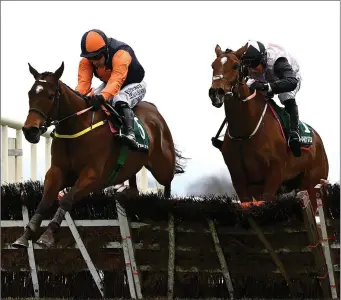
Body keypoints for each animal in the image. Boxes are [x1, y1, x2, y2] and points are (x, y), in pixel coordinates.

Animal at [12, 61, 183, 248]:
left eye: (50, 96)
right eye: (30, 94)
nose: (30, 131)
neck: (76, 127)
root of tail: (154, 110)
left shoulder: (93, 176)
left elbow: (66, 200)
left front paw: (48, 235)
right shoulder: (58, 171)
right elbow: (44, 202)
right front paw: (25, 236)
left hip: (163, 166)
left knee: (167, 181)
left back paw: (167, 204)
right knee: (135, 183)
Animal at [207, 44, 326, 211]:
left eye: (236, 66)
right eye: (213, 65)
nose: (216, 92)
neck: (245, 132)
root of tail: (318, 139)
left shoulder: (274, 173)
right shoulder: (240, 178)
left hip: (312, 183)